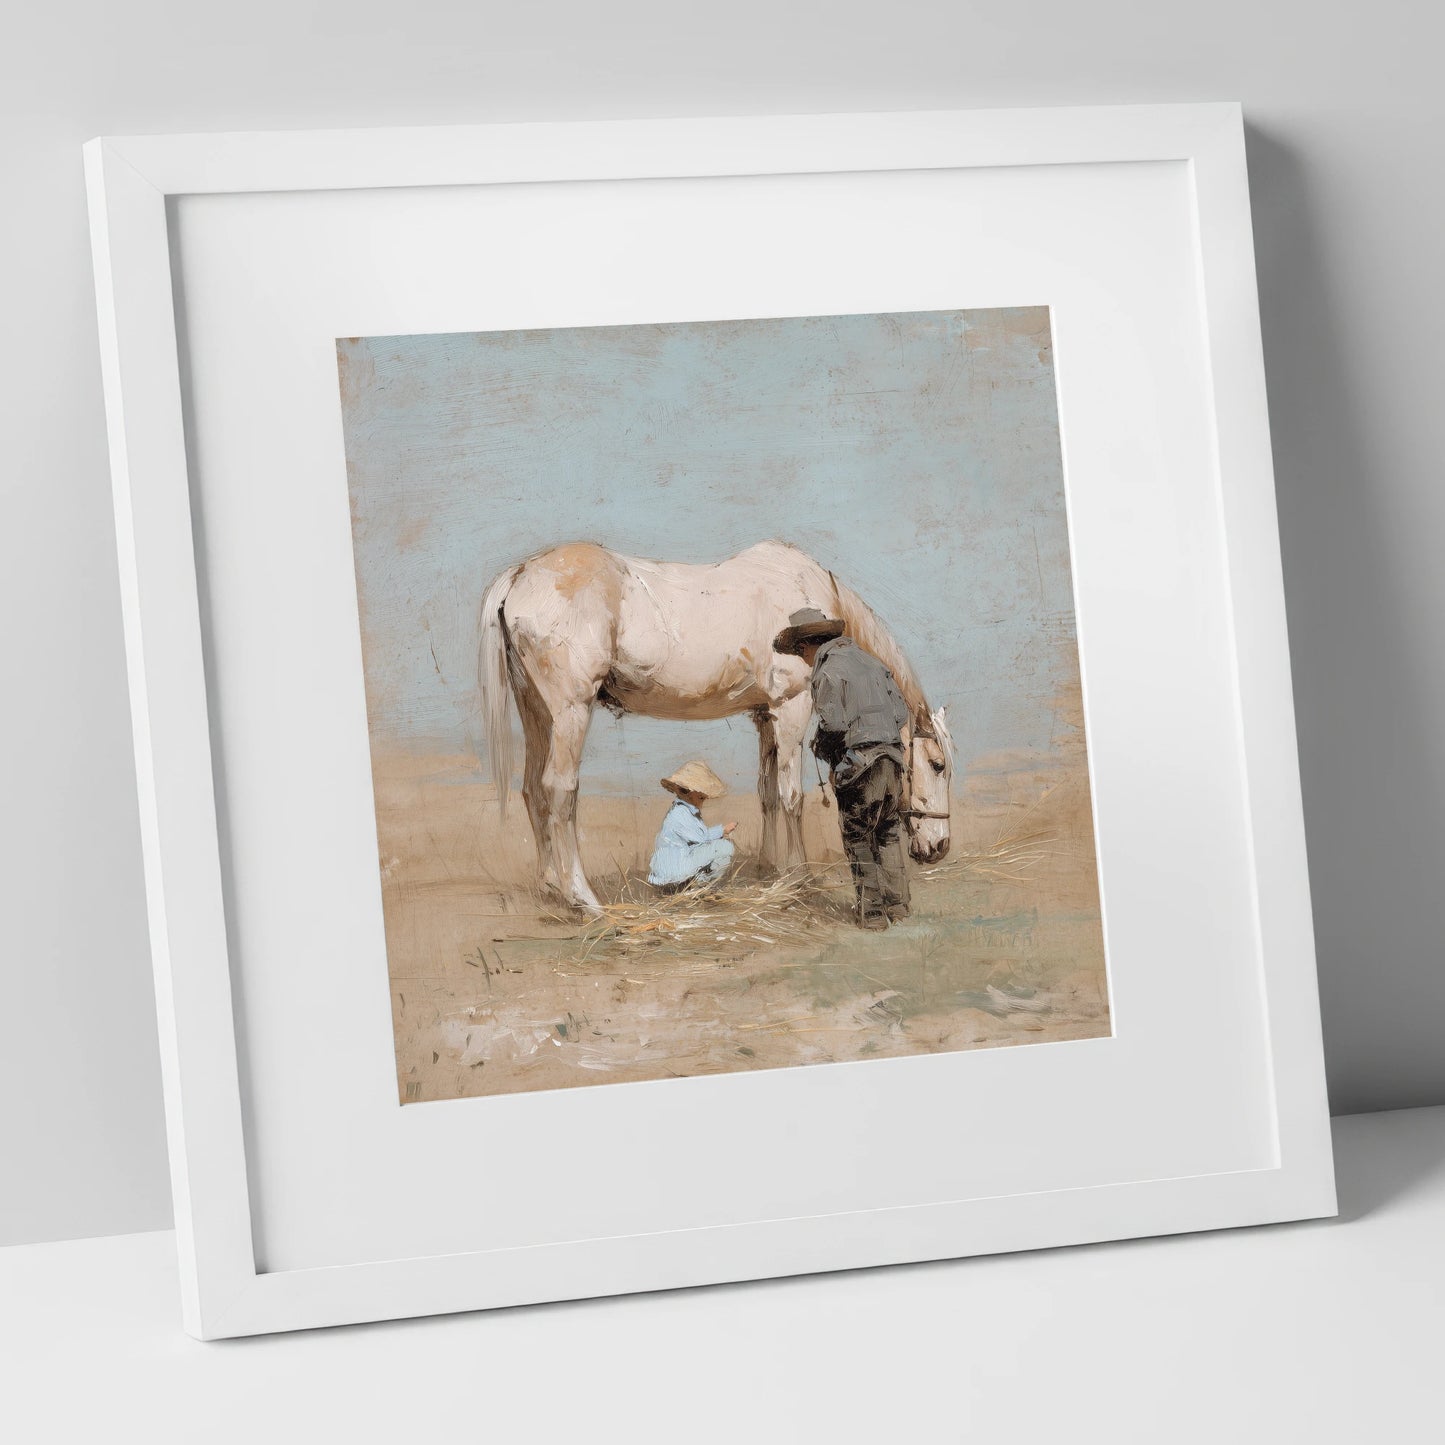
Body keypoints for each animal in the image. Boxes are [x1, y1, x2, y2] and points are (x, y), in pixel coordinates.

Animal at [478, 539, 954, 915]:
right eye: (937, 765)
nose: (939, 848)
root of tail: (520, 575)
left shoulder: (764, 716)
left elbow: (767, 793)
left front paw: (770, 868)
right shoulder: (791, 709)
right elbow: (792, 796)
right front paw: (799, 877)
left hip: (537, 711)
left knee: (532, 789)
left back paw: (551, 886)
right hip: (570, 712)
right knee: (559, 790)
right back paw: (583, 899)